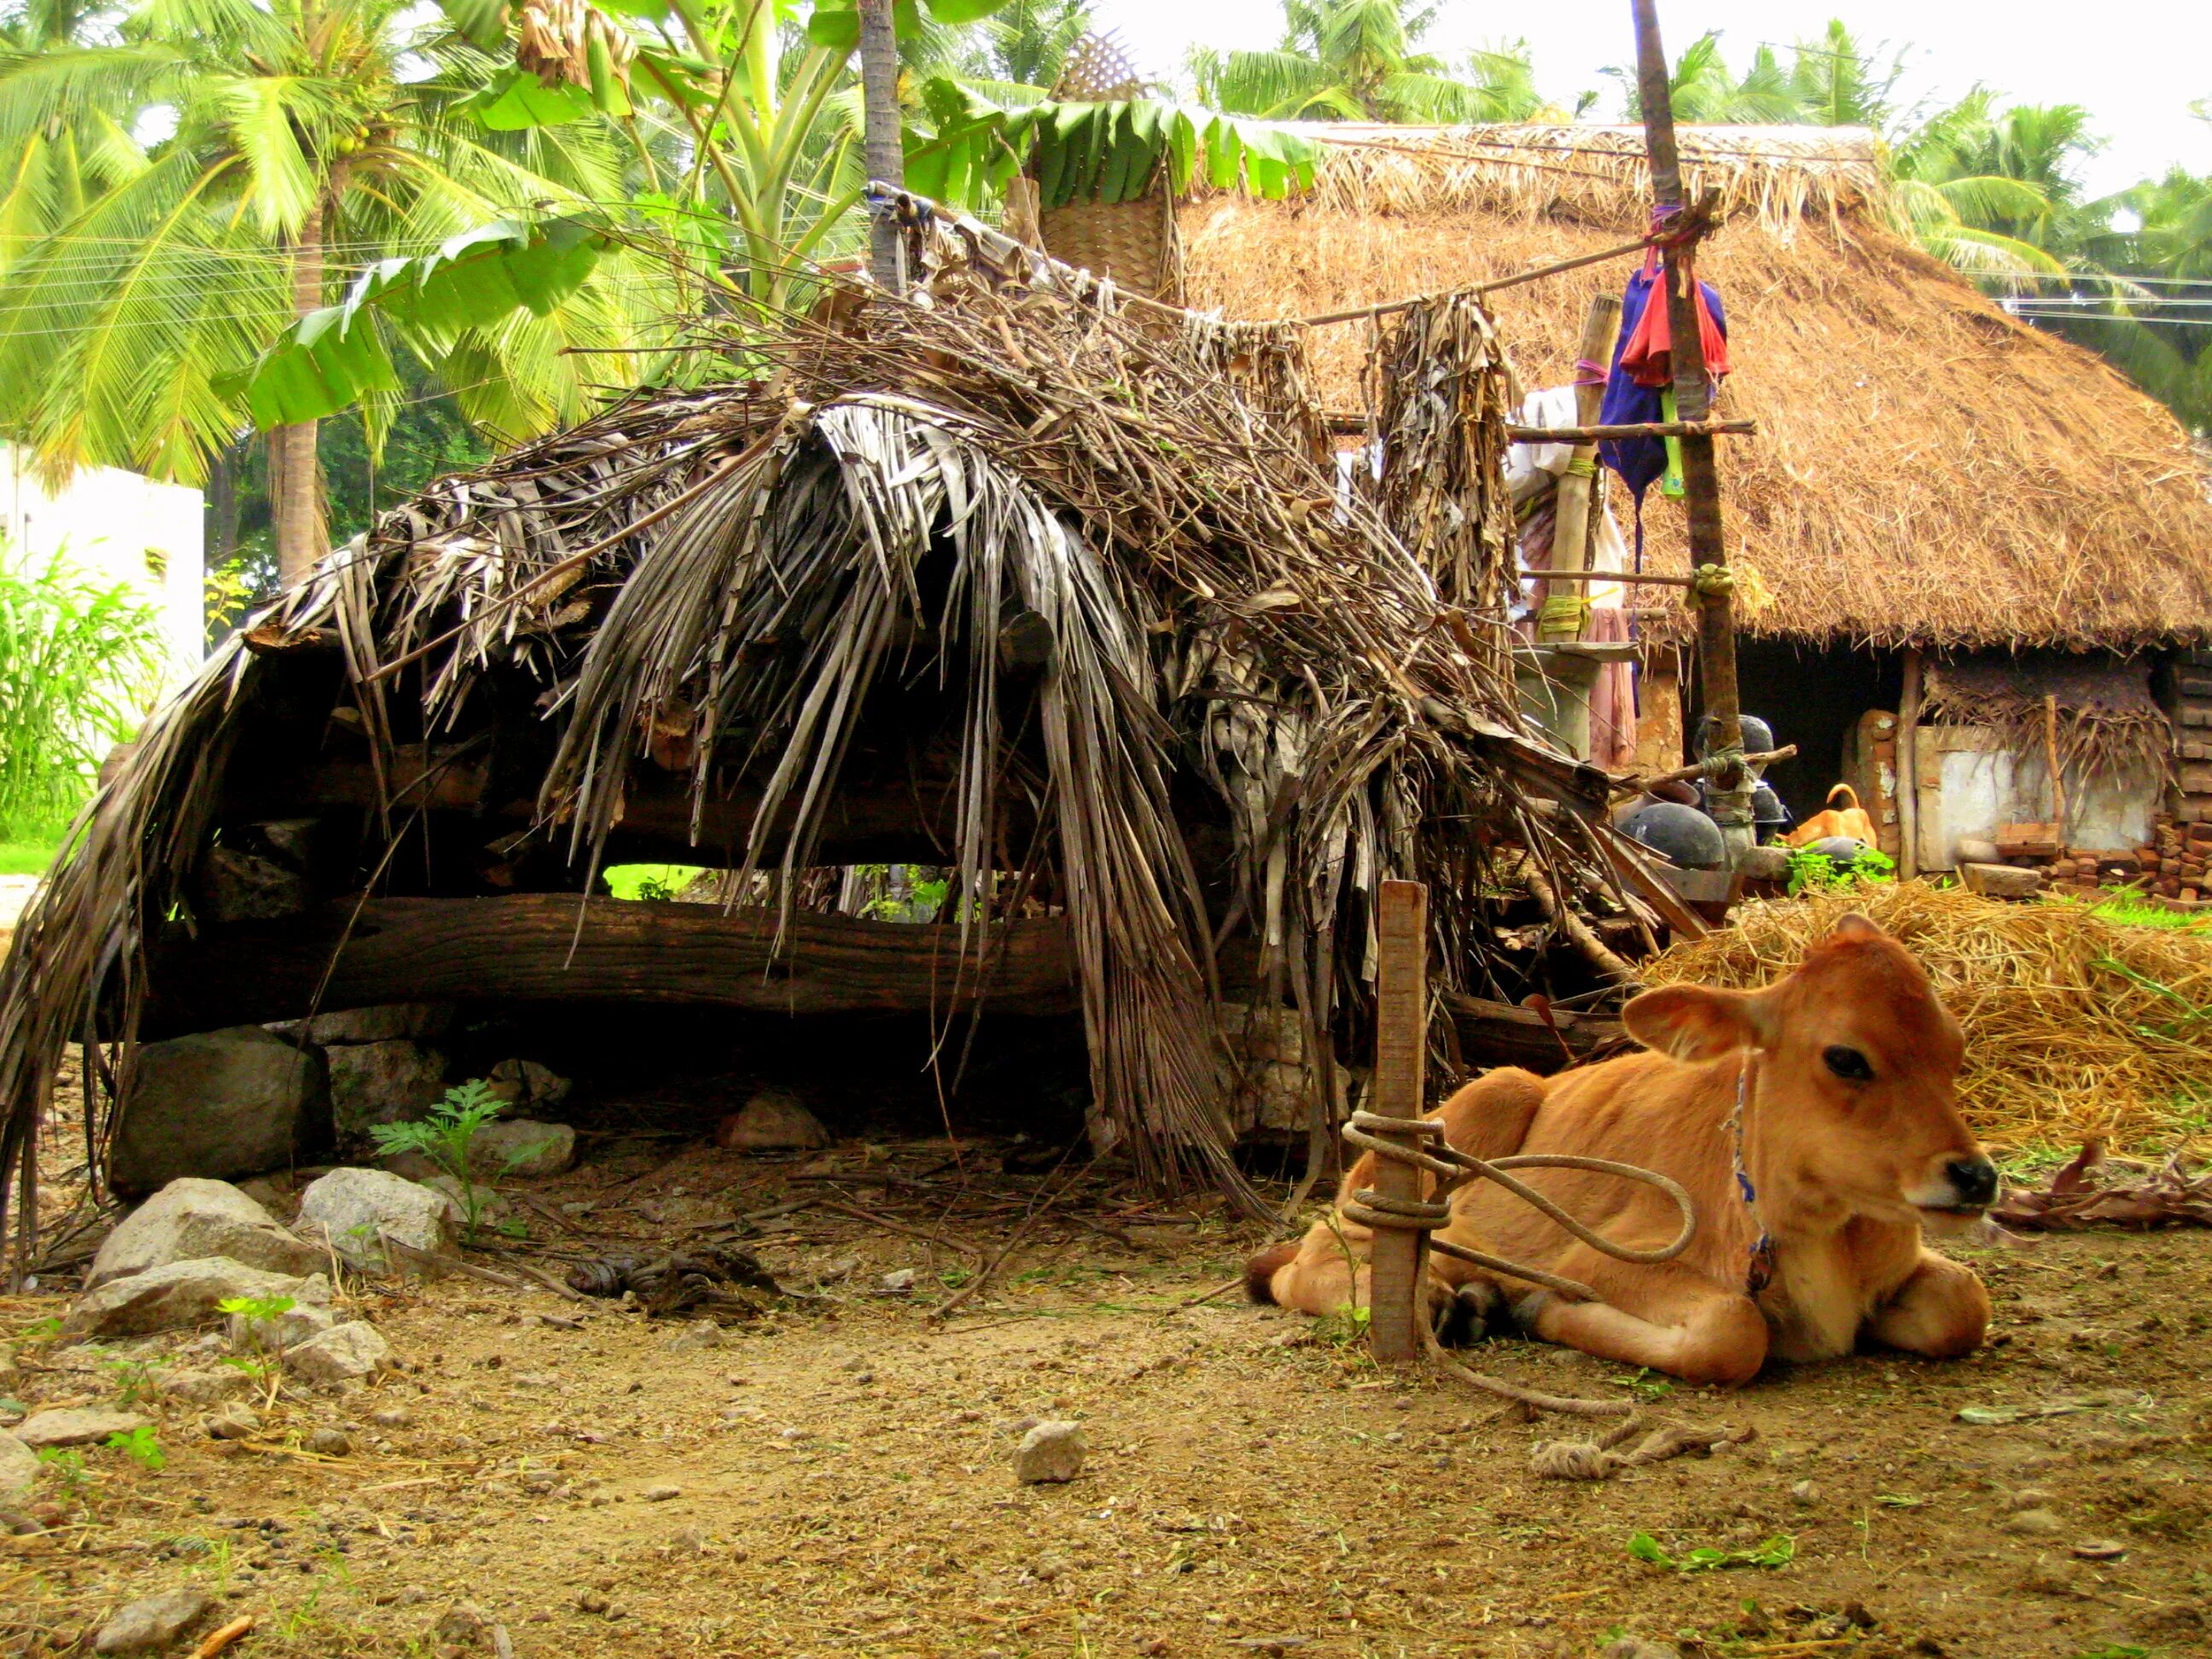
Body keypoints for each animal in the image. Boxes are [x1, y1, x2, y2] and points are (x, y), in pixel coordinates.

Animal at [1256, 916, 2000, 1380]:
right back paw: (1443, 1299)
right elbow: (1734, 1334)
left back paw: (1472, 1301)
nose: (1976, 1178)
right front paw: (1543, 1309)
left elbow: (1965, 1303)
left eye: (1955, 1048)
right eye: (1845, 1058)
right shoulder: (1605, 1258)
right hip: (1477, 1105)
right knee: (1311, 1257)